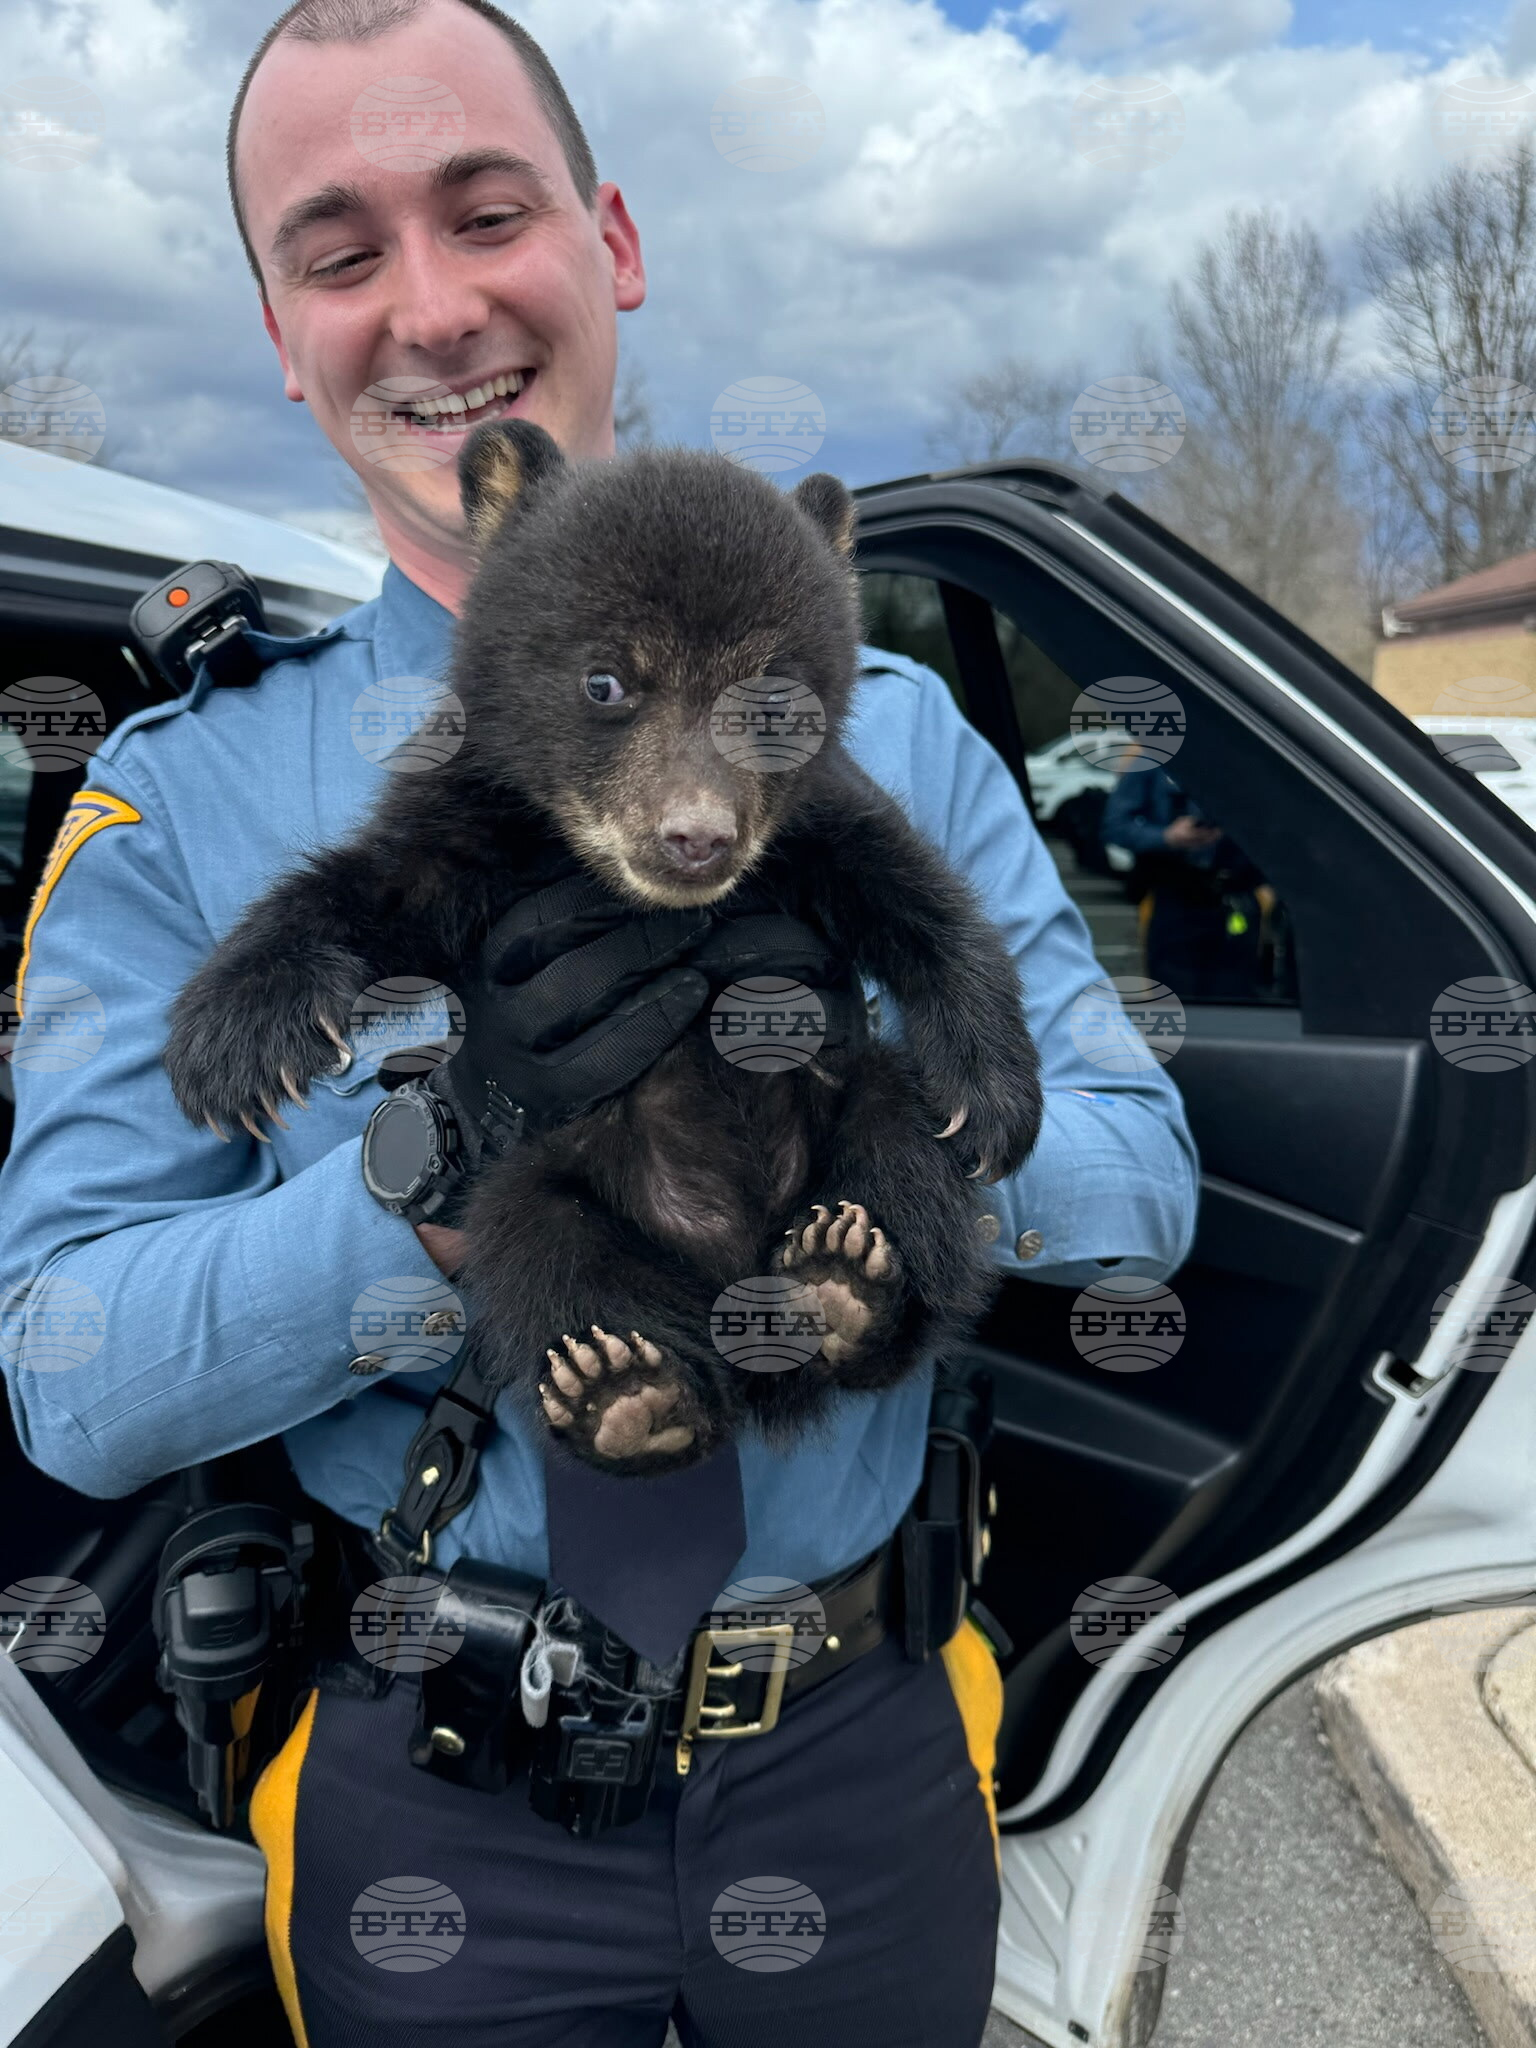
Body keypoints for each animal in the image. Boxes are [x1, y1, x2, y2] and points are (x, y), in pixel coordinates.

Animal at [163, 420, 1042, 1474]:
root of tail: (736, 1291)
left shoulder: (813, 825)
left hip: (859, 1103)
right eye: (605, 681)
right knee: (543, 1255)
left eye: (774, 704)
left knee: (903, 1162)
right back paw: (627, 1392)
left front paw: (993, 1099)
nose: (697, 838)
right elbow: (377, 890)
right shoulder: (474, 822)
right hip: (546, 1184)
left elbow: (917, 894)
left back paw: (848, 1281)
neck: (603, 875)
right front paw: (233, 1043)